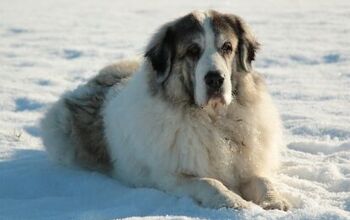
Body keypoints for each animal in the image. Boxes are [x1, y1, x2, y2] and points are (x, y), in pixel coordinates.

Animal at [40, 9, 290, 210]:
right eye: (192, 51)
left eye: (227, 47)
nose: (215, 79)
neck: (213, 120)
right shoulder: (171, 177)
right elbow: (210, 183)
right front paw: (233, 202)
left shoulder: (249, 166)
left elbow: (263, 181)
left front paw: (276, 201)